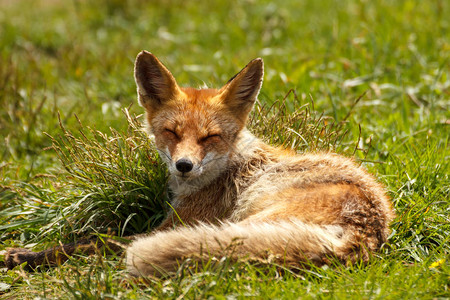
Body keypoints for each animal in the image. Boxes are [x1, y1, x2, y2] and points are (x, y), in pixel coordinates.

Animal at [4, 51, 394, 276]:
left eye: (210, 137)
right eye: (172, 132)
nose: (184, 165)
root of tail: (366, 232)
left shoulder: (173, 225)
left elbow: (94, 241)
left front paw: (26, 256)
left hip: (244, 220)